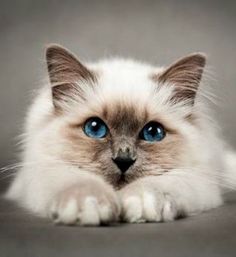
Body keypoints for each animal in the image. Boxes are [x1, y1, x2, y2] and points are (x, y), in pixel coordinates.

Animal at [5, 44, 236, 224]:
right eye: (95, 128)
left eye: (153, 133)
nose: (123, 160)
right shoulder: (44, 169)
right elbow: (77, 181)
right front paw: (87, 205)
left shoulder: (197, 178)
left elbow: (157, 185)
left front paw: (141, 204)